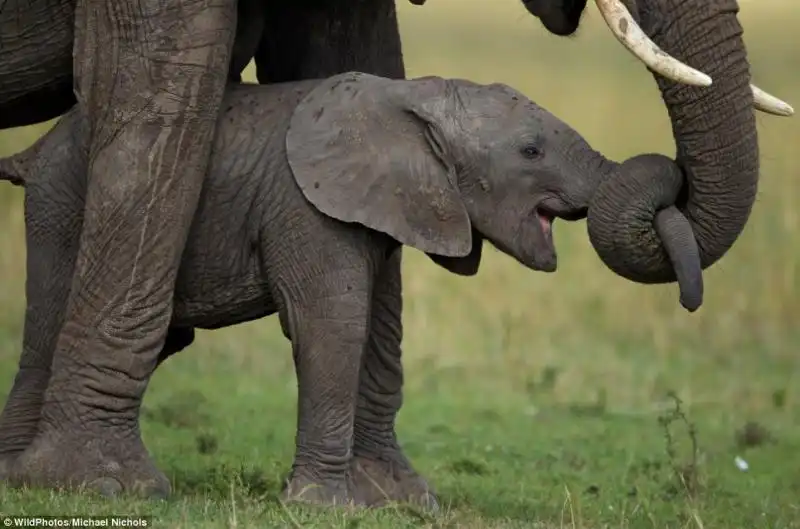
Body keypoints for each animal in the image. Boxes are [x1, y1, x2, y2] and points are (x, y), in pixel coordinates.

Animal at [0, 73, 612, 504]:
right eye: (531, 151)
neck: (421, 98)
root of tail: (38, 147)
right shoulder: (304, 206)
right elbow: (332, 323)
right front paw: (322, 506)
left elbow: (370, 320)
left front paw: (396, 503)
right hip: (62, 204)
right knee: (48, 328)